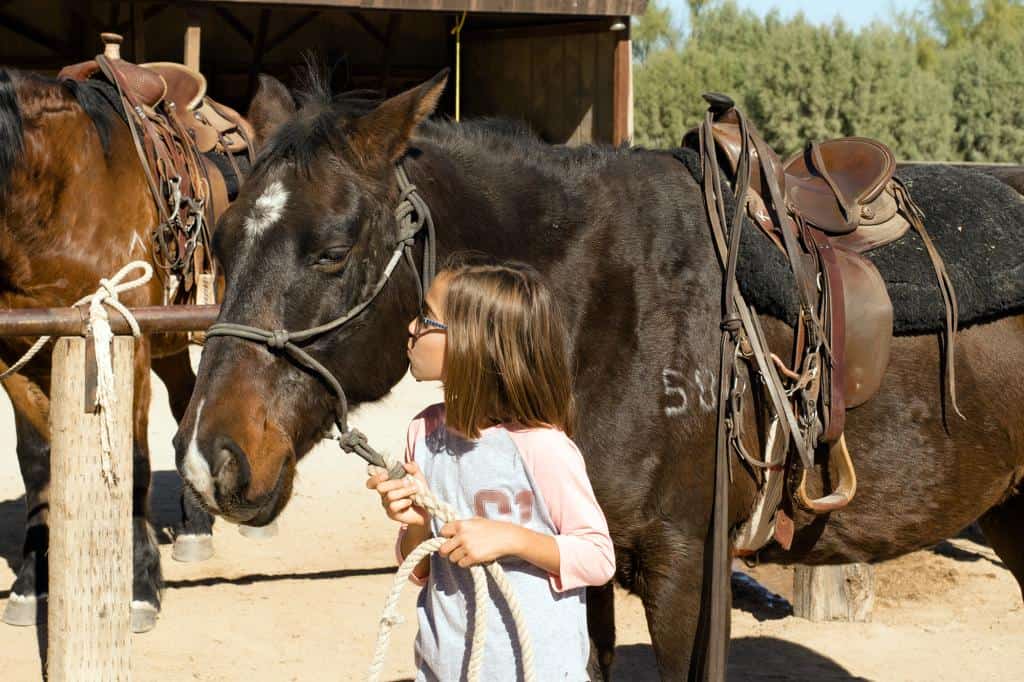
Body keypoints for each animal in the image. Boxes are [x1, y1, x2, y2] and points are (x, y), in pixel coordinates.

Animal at [0, 70, 274, 630]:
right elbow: (36, 463)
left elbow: (136, 461)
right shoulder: (15, 351)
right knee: (188, 400)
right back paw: (196, 526)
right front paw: (30, 581)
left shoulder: (130, 342)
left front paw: (140, 586)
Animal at [176, 71, 1024, 675]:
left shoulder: (688, 569)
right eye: (219, 239)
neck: (602, 307)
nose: (208, 462)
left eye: (332, 251)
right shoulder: (580, 559)